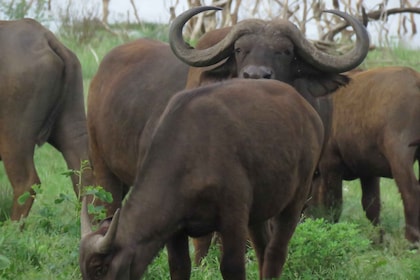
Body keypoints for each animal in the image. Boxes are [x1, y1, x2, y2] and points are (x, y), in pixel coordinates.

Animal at [79, 79, 324, 280]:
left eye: (100, 268)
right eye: (85, 272)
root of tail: (308, 112)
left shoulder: (233, 218)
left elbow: (232, 267)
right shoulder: (174, 230)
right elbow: (179, 267)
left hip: (296, 199)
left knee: (275, 252)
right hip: (260, 210)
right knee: (263, 249)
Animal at [308, 66, 420, 243]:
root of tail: (416, 82)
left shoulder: (331, 166)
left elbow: (333, 205)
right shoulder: (368, 171)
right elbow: (371, 205)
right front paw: (378, 240)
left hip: (400, 154)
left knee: (410, 190)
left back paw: (411, 239)